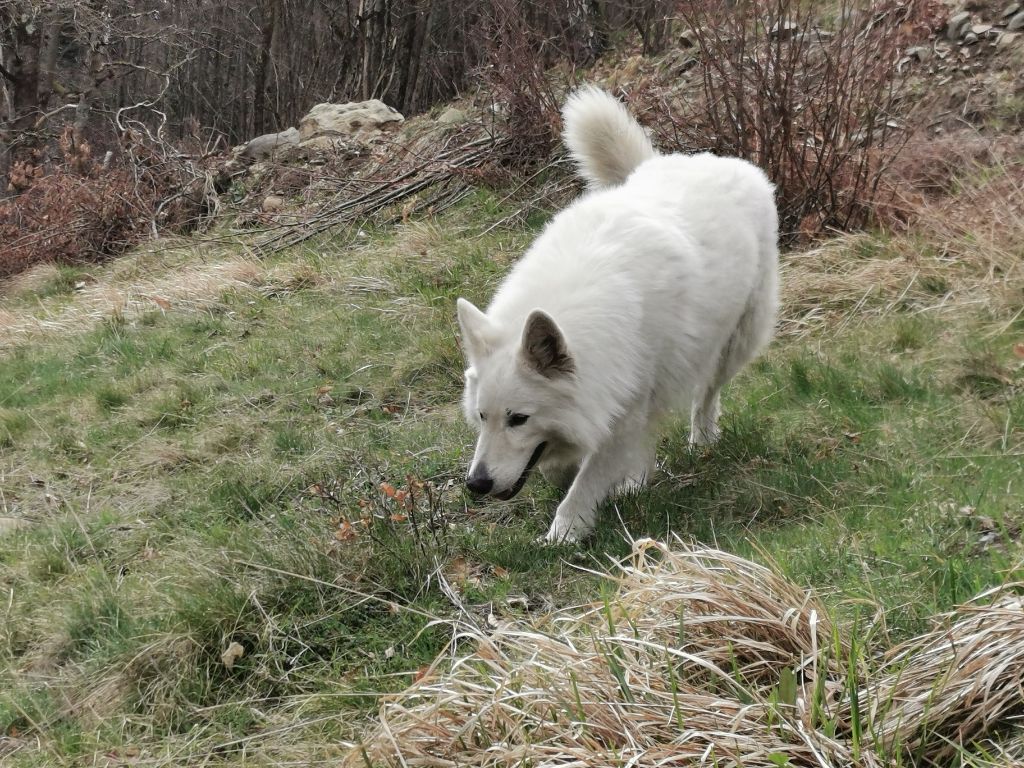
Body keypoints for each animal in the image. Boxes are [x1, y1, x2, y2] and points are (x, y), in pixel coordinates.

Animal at [456, 87, 774, 544]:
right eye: (482, 417)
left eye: (518, 419)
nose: (476, 484)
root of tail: (711, 161)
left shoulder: (626, 406)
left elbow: (587, 480)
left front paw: (564, 533)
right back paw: (636, 482)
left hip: (734, 343)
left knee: (706, 395)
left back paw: (702, 441)